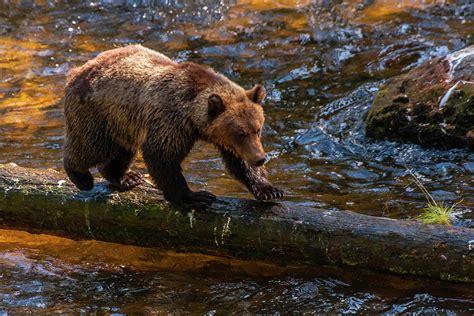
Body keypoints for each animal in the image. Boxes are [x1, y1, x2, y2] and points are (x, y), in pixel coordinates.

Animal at [64, 44, 284, 207]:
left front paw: (270, 190)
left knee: (122, 150)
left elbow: (238, 162)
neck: (192, 116)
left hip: (123, 123)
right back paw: (81, 176)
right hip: (97, 112)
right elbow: (162, 156)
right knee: (91, 146)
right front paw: (195, 197)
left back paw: (126, 177)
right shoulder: (170, 118)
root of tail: (76, 71)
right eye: (240, 132)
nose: (260, 158)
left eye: (258, 129)